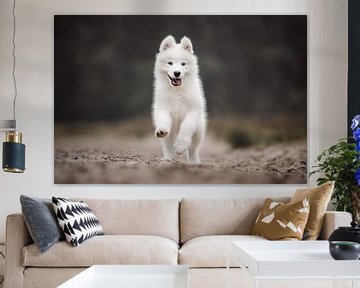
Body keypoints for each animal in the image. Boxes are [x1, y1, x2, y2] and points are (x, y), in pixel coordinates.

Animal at [152, 35, 207, 163]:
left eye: (183, 64)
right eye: (170, 63)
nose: (177, 73)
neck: (176, 90)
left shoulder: (193, 110)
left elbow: (187, 126)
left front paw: (181, 146)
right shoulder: (163, 107)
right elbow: (163, 120)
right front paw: (162, 130)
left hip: (198, 131)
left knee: (193, 149)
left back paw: (194, 162)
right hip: (170, 135)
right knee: (168, 146)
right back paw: (168, 159)